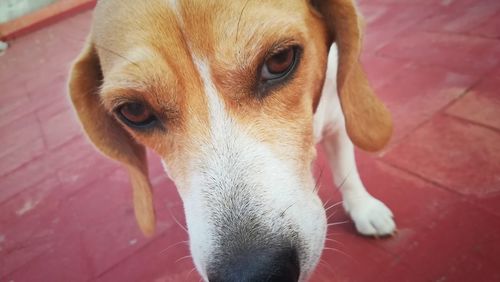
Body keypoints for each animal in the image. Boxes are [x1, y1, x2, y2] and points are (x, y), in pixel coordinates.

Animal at [67, 1, 394, 280]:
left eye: (279, 60)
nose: (253, 273)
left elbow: (347, 173)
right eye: (134, 111)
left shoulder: (337, 121)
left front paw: (364, 208)